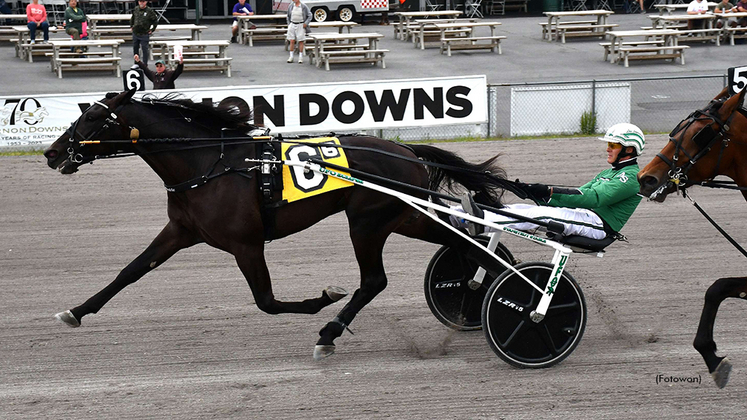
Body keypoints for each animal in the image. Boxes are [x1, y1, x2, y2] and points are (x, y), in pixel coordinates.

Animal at [43, 91, 512, 360]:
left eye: (92, 119)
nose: (52, 153)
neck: (207, 162)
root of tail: (406, 150)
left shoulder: (246, 244)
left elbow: (266, 301)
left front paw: (323, 298)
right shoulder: (181, 231)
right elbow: (131, 271)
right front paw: (76, 311)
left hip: (367, 222)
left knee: (374, 280)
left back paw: (329, 332)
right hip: (404, 216)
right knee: (466, 244)